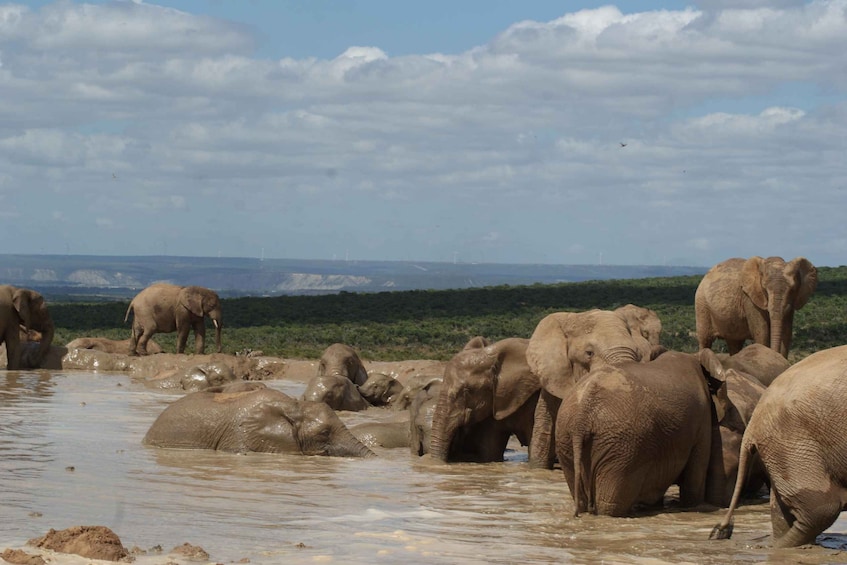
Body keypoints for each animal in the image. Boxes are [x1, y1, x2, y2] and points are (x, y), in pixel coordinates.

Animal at [556, 350, 729, 517]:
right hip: (624, 448)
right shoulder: (702, 420)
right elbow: (695, 477)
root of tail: (582, 415)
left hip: (568, 438)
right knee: (610, 505)